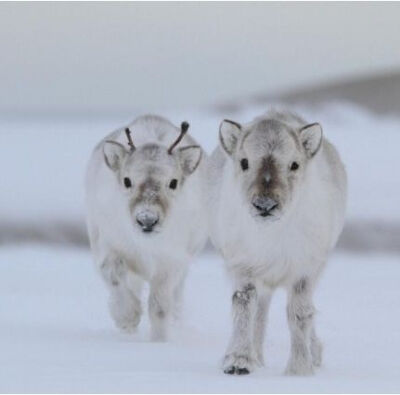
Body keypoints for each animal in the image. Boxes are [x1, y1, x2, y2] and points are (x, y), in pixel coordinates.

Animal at [86, 114, 208, 340]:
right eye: (127, 180)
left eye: (173, 182)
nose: (147, 220)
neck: (146, 244)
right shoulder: (108, 246)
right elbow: (114, 277)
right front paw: (127, 319)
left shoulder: (171, 262)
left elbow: (159, 307)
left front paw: (159, 340)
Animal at [206, 110, 346, 376]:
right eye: (244, 162)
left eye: (294, 164)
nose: (265, 205)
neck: (270, 234)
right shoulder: (243, 266)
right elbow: (244, 306)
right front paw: (238, 361)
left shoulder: (305, 270)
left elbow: (299, 313)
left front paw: (300, 369)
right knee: (260, 313)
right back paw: (257, 358)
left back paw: (315, 354)